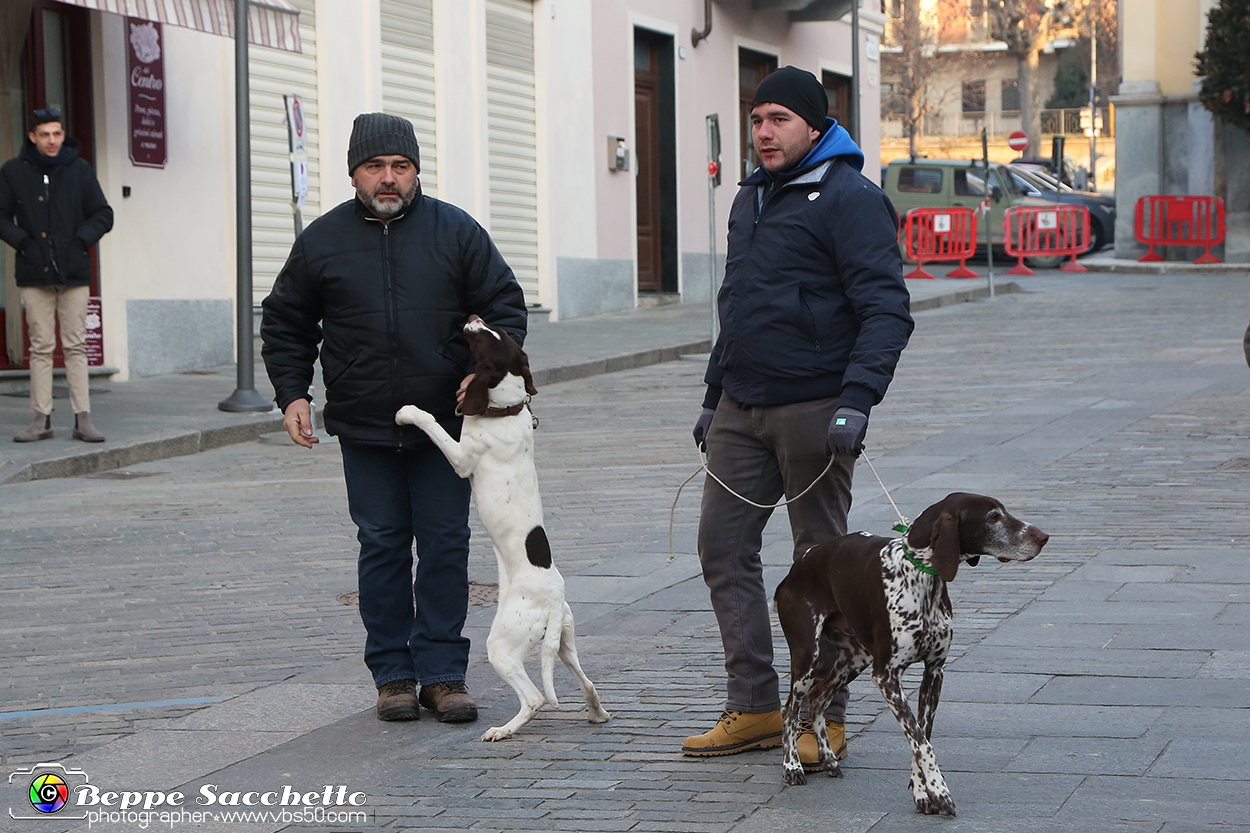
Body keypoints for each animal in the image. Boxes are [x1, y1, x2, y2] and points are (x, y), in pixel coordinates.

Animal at [395, 312, 610, 740]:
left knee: (536, 697)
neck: (506, 409)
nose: (474, 316)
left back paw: (504, 730)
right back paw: (596, 715)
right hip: (563, 644)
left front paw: (408, 412)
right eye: (501, 334)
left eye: (487, 339)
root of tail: (553, 599)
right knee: (589, 684)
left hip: (502, 645)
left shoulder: (461, 457)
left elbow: (431, 420)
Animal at [775, 490, 1050, 815]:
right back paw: (791, 766)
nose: (1044, 537)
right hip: (807, 656)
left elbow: (922, 737)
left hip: (855, 659)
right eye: (993, 517)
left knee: (818, 698)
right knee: (790, 709)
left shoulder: (934, 672)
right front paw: (940, 791)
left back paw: (828, 759)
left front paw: (922, 793)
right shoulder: (886, 677)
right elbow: (921, 741)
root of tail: (795, 569)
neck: (922, 577)